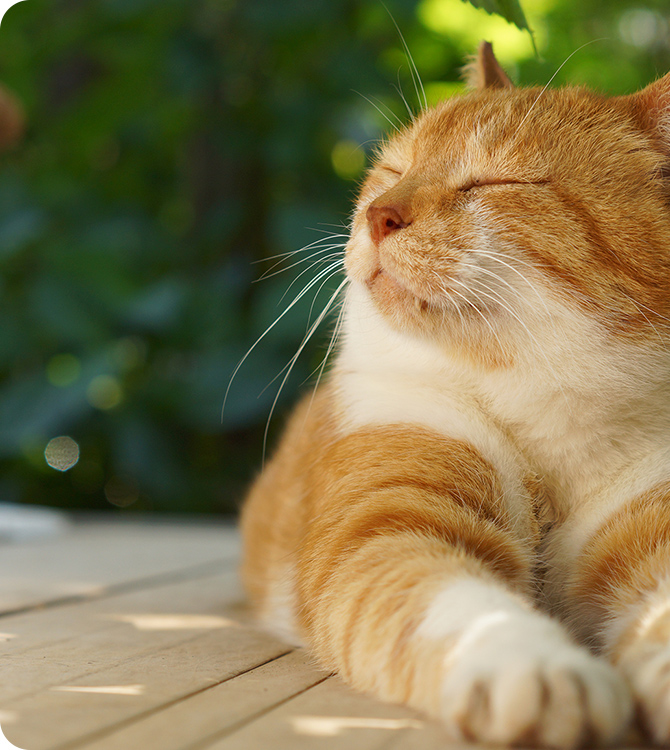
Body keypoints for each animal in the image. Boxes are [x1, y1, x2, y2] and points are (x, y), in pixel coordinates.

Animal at [240, 44, 670, 748]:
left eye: (493, 183)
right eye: (394, 169)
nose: (378, 214)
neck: (542, 434)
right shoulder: (387, 526)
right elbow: (465, 605)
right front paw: (538, 669)